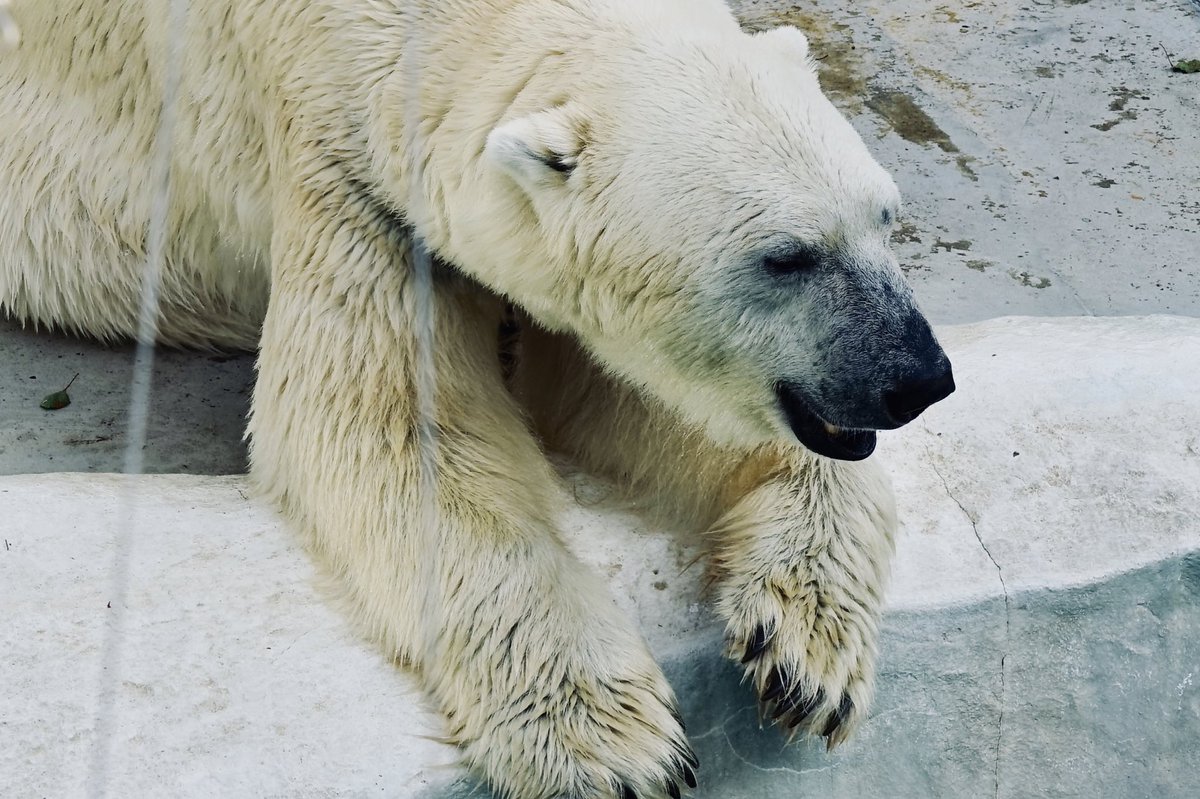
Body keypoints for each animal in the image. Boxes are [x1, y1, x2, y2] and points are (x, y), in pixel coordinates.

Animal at [2, 1, 955, 796]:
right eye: (786, 256)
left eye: (885, 217)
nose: (918, 378)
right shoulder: (342, 162)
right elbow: (391, 429)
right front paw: (611, 743)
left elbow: (609, 391)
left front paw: (804, 648)